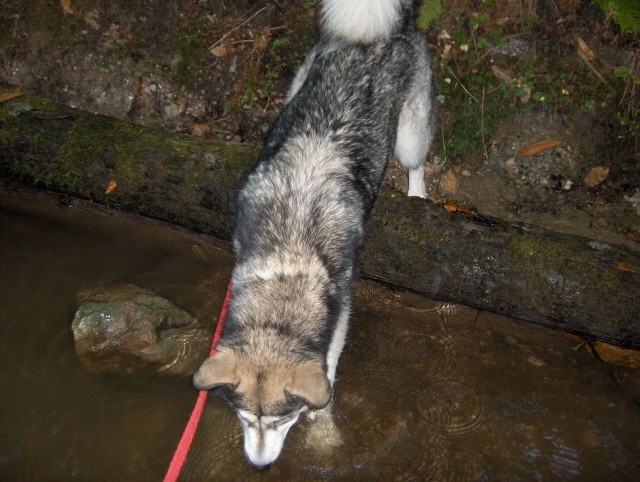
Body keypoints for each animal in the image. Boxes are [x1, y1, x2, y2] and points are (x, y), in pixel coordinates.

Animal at [194, 0, 436, 468]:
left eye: (283, 421)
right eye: (245, 419)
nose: (259, 465)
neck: (287, 265)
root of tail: (379, 33)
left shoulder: (340, 309)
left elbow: (329, 365)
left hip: (410, 135)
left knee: (417, 162)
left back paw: (417, 193)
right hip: (296, 87)